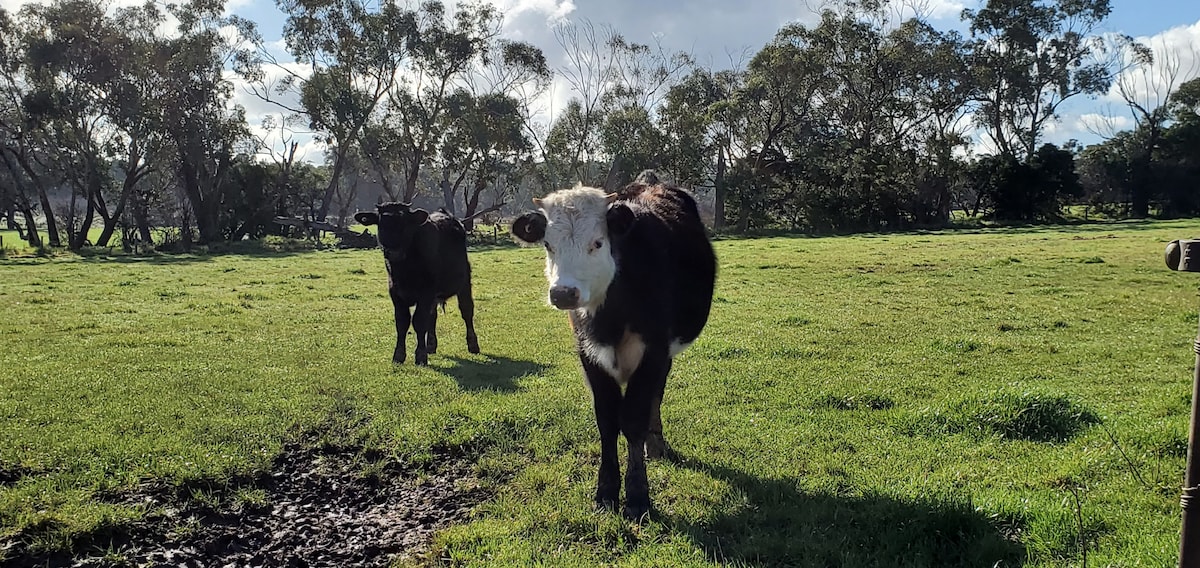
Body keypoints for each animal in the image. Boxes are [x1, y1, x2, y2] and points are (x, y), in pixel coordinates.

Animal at [352, 201, 480, 365]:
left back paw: (473, 345)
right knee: (432, 316)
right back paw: (431, 345)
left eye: (406, 224)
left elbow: (419, 321)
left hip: (464, 282)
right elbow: (402, 322)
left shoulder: (426, 292)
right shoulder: (395, 293)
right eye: (382, 223)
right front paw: (399, 355)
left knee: (466, 311)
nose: (394, 252)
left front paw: (420, 356)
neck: (405, 270)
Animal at [506, 169, 710, 518]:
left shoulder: (653, 351)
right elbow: (607, 420)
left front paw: (638, 495)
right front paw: (606, 491)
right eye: (548, 244)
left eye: (598, 243)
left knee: (656, 396)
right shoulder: (588, 354)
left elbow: (634, 418)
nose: (563, 293)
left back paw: (655, 444)